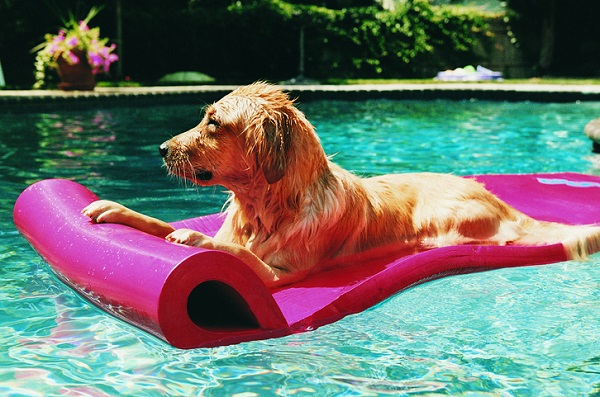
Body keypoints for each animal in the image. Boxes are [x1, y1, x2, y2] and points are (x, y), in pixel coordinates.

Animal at [82, 81, 600, 284]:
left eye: (214, 122)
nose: (161, 149)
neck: (266, 208)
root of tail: (503, 202)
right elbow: (160, 222)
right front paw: (115, 208)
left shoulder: (283, 274)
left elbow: (237, 253)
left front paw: (193, 239)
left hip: (448, 216)